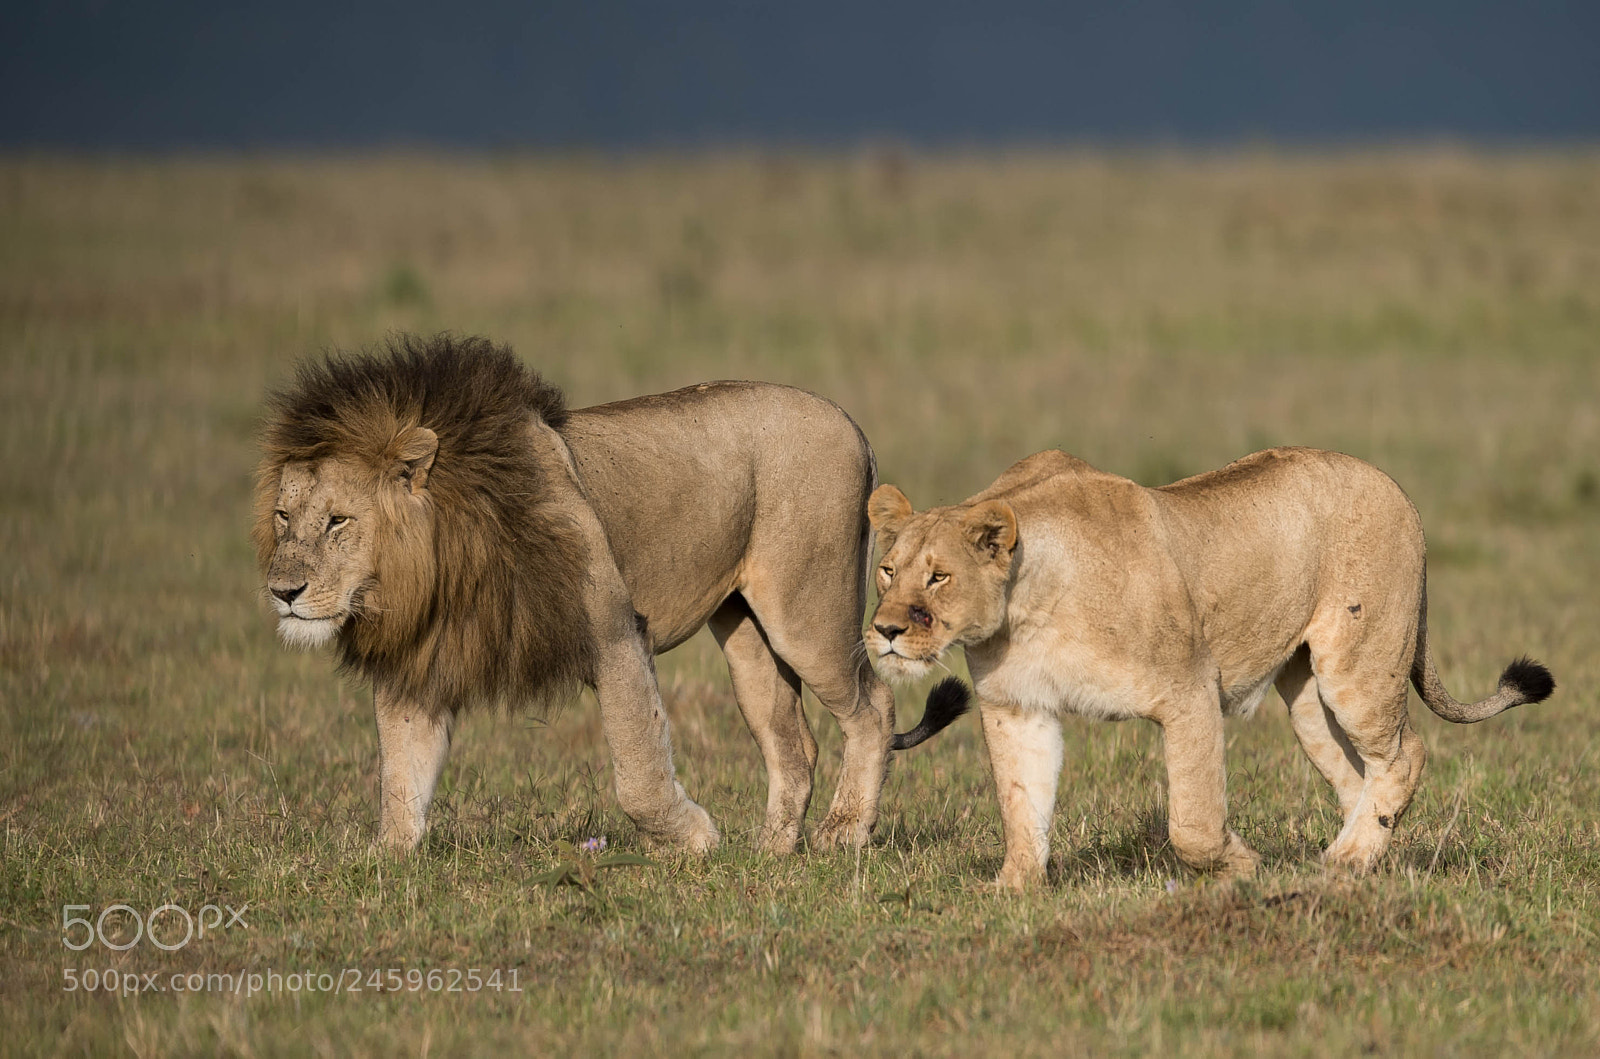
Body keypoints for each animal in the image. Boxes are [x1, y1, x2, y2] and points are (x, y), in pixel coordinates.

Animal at [254, 333, 947, 855]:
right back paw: (772, 852)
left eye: (338, 521)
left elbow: (637, 773)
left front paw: (695, 840)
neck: (440, 560)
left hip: (806, 618)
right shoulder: (419, 660)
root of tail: (850, 423)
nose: (283, 592)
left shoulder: (614, 631)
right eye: (285, 517)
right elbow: (402, 773)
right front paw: (384, 860)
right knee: (793, 744)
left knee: (874, 708)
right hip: (747, 636)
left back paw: (843, 834)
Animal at [865, 447, 1554, 891]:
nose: (887, 631)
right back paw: (1354, 863)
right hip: (1310, 702)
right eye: (888, 571)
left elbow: (1193, 823)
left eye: (939, 576)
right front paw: (1014, 889)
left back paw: (1345, 862)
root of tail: (1398, 490)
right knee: (1364, 777)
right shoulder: (1017, 706)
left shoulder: (1189, 689)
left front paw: (1244, 870)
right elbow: (1020, 805)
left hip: (1358, 671)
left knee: (1406, 755)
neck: (1026, 606)